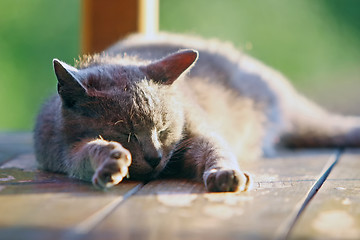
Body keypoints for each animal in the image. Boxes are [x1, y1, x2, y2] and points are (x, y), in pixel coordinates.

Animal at [33, 32, 360, 192]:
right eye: (126, 134)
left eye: (163, 129)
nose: (155, 157)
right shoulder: (61, 151)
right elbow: (84, 153)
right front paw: (110, 161)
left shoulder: (199, 132)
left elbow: (215, 148)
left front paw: (225, 173)